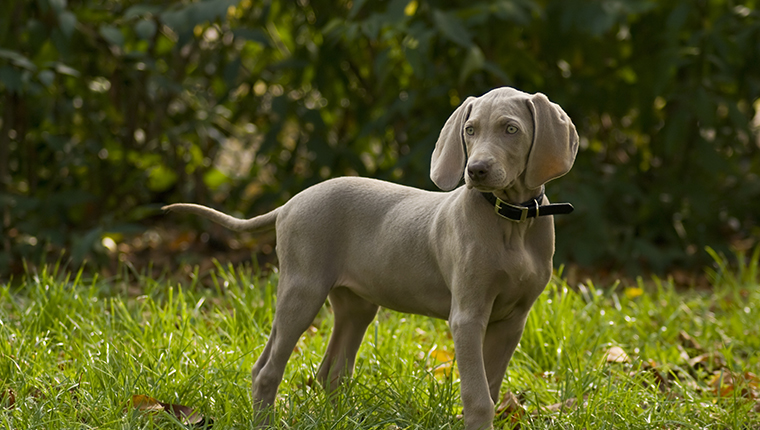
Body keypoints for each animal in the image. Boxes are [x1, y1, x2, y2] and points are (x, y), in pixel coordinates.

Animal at [162, 85, 576, 428]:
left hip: (355, 304)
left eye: (511, 129)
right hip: (302, 289)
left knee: (330, 372)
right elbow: (478, 397)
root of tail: (290, 203)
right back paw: (265, 422)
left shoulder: (513, 321)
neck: (512, 221)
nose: (475, 170)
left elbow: (491, 386)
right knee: (267, 369)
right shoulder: (468, 317)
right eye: (470, 130)